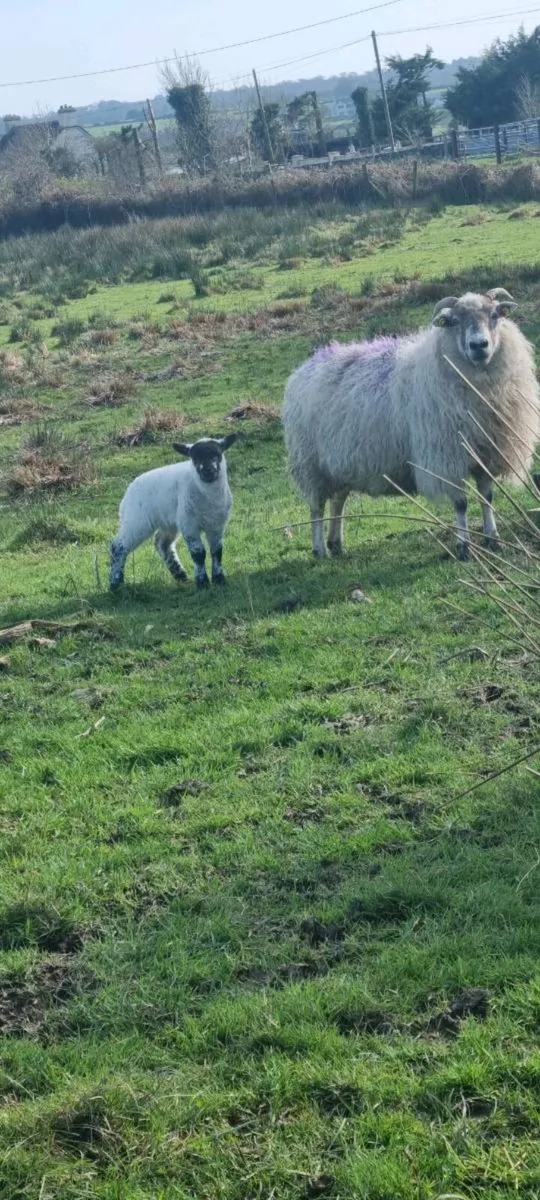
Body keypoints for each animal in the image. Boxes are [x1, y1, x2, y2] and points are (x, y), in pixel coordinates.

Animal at [109, 434, 238, 591]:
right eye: (194, 458)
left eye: (217, 454)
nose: (208, 471)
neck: (208, 497)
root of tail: (127, 493)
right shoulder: (189, 525)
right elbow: (198, 553)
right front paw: (202, 582)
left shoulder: (217, 525)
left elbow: (217, 552)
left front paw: (219, 579)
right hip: (137, 520)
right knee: (118, 546)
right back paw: (115, 584)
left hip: (167, 521)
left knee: (162, 543)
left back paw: (181, 575)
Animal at [282, 288, 540, 561]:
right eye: (454, 321)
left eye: (494, 315)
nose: (479, 345)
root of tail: (306, 366)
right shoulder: (447, 458)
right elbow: (461, 504)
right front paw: (463, 548)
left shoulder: (486, 454)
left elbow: (487, 498)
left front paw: (493, 539)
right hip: (311, 465)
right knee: (316, 507)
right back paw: (320, 548)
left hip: (338, 463)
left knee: (338, 500)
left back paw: (335, 543)